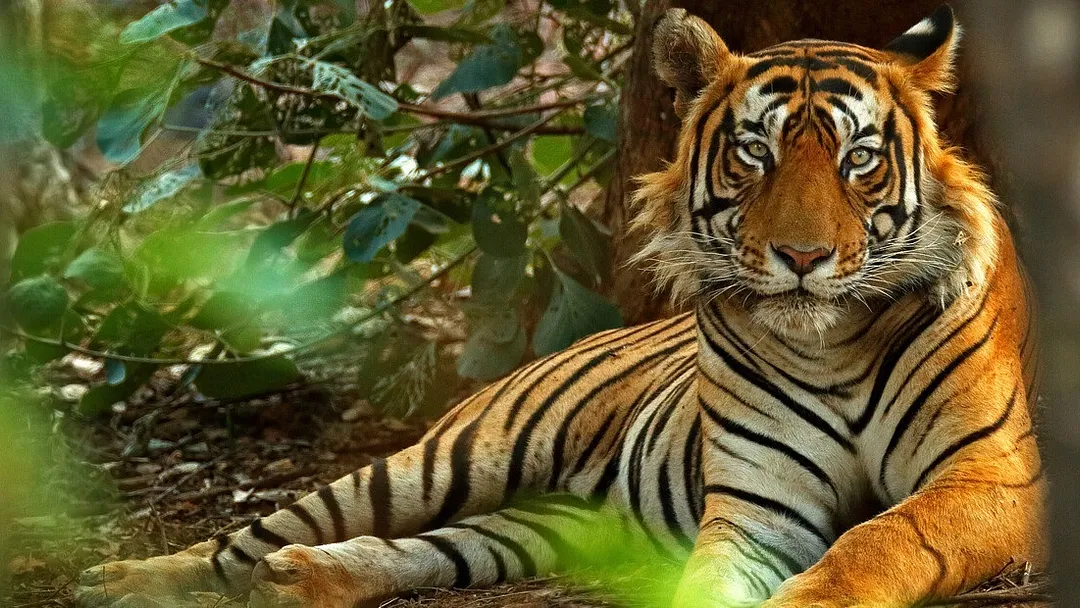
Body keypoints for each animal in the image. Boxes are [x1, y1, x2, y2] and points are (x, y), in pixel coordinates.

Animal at [75, 5, 1045, 607]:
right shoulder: (757, 505)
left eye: (859, 160)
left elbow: (885, 538)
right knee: (257, 532)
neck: (832, 342)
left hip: (544, 524)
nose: (802, 259)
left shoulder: (993, 476)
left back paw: (299, 579)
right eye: (755, 154)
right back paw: (131, 579)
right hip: (449, 457)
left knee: (427, 547)